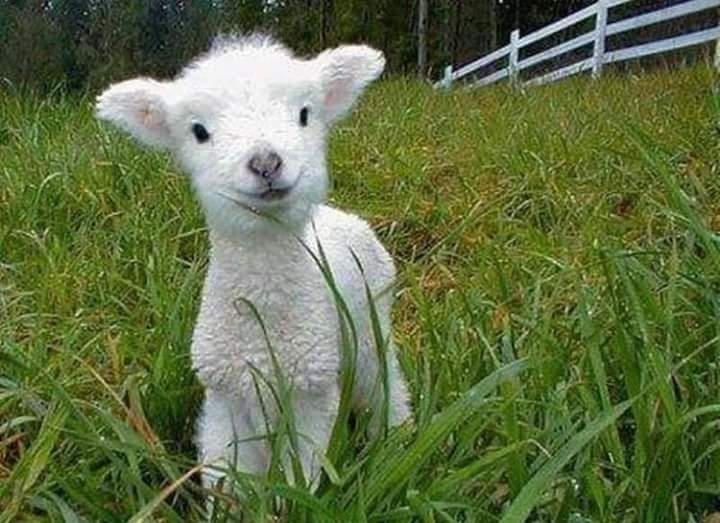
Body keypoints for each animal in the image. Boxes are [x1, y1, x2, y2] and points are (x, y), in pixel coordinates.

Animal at [95, 35, 412, 491]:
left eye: (304, 114)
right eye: (199, 131)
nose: (266, 163)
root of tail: (335, 213)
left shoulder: (310, 393)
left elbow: (302, 479)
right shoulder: (225, 397)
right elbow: (227, 479)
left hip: (371, 324)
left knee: (385, 386)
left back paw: (397, 440)